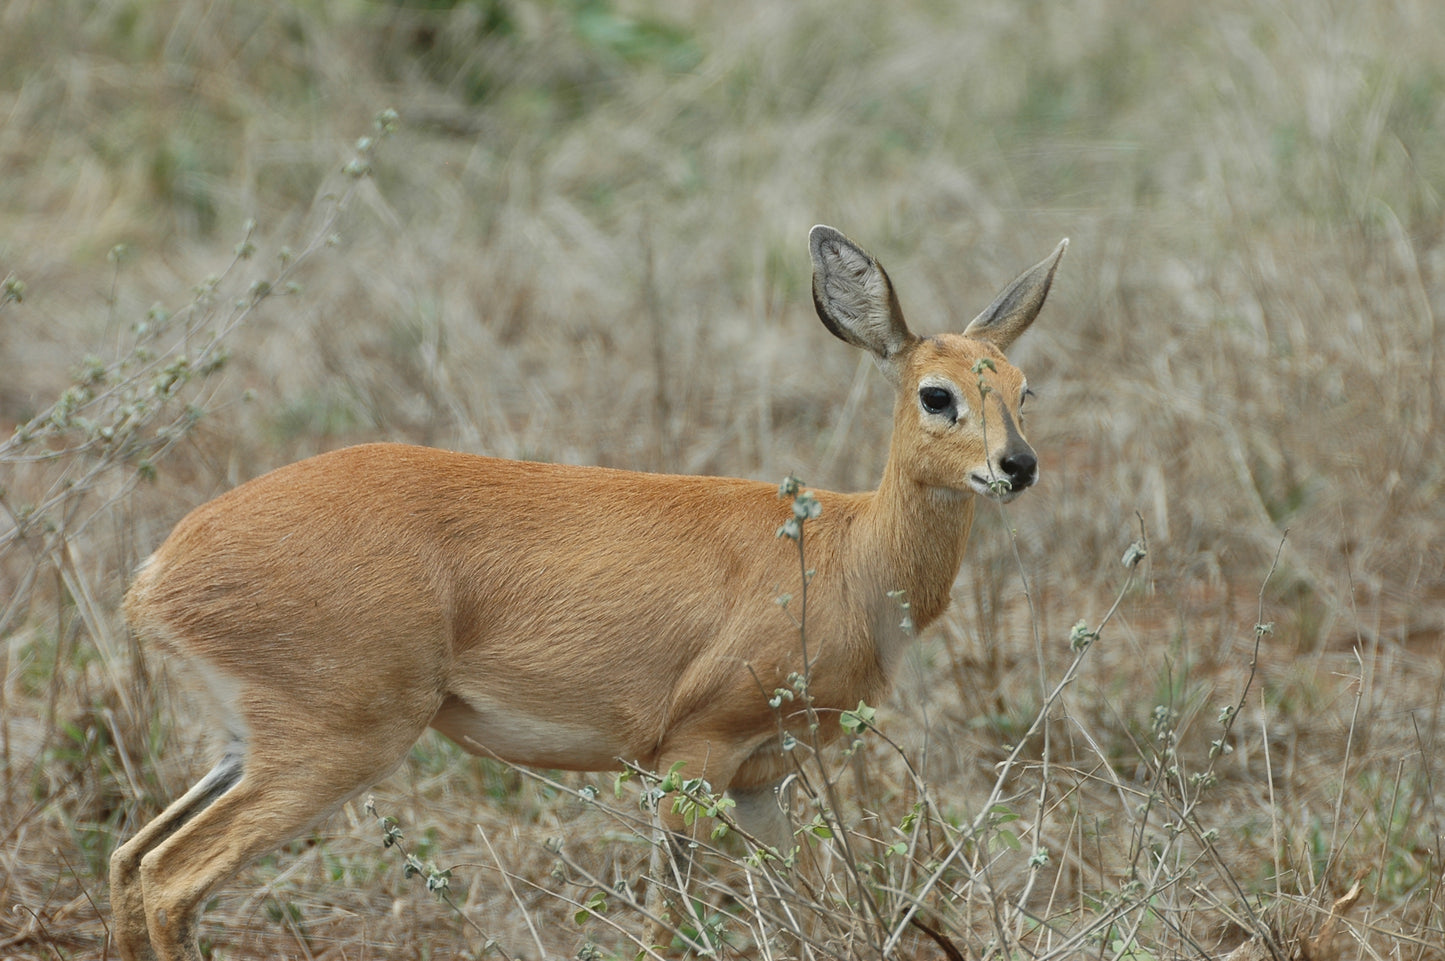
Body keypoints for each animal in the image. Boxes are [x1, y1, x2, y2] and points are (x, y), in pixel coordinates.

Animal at [109, 226, 1063, 959]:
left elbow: (802, 904)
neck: (846, 549)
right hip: (334, 745)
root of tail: (158, 574)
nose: (1017, 466)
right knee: (169, 878)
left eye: (1023, 387)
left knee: (128, 859)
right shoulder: (692, 757)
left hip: (248, 745)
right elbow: (667, 925)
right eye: (936, 394)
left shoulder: (764, 778)